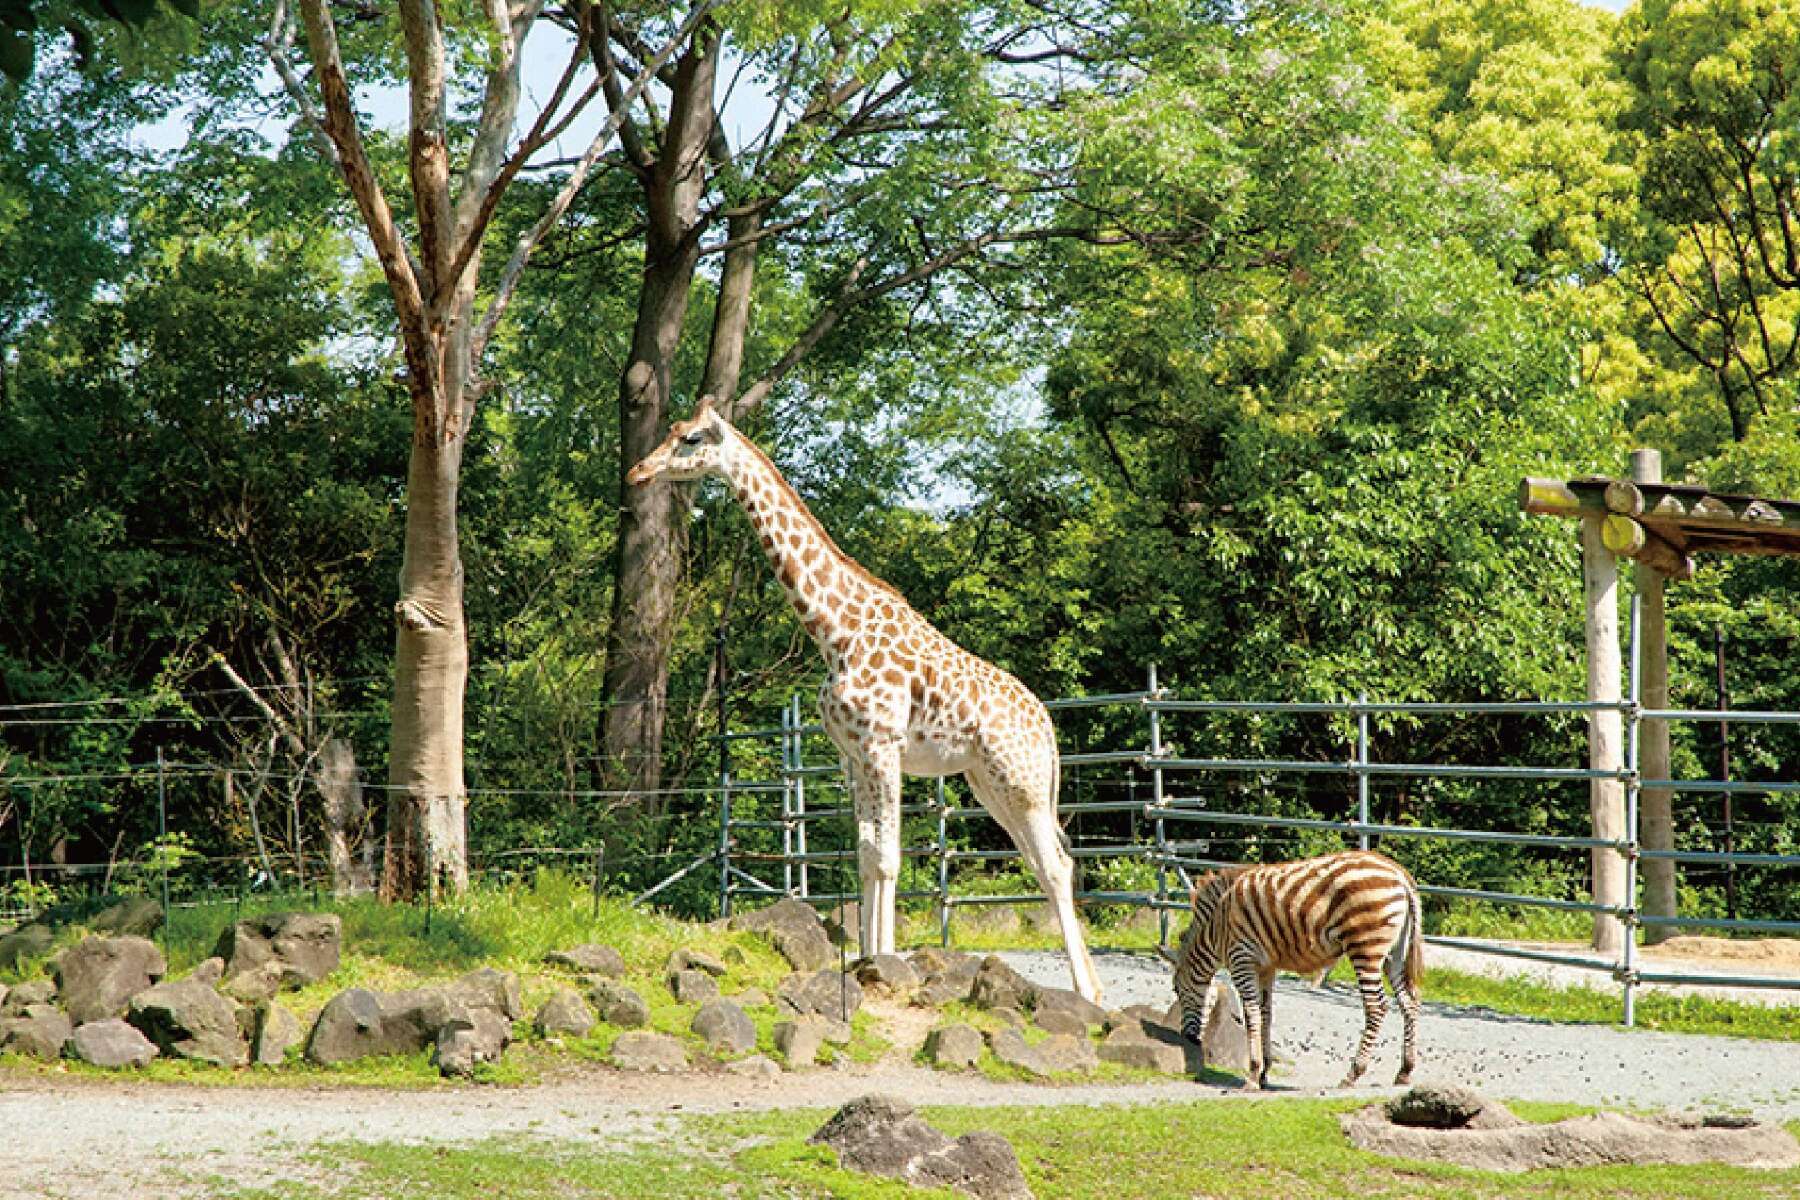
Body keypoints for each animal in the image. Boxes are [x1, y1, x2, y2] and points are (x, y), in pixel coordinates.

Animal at [626, 399, 1101, 1000]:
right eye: (669, 431)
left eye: (689, 439)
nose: (638, 472)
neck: (833, 631)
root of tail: (1047, 728)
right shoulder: (851, 755)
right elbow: (866, 854)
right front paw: (866, 958)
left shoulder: (883, 745)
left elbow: (889, 858)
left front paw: (888, 960)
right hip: (989, 783)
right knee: (1046, 861)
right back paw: (1094, 990)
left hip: (1022, 782)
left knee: (1057, 866)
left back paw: (1086, 993)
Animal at [1173, 849, 1425, 1093]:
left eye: (1176, 990)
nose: (1187, 1039)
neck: (1217, 928)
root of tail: (1399, 874)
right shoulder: (1266, 967)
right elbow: (1266, 1014)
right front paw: (1264, 1073)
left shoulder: (1242, 958)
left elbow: (1251, 1014)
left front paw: (1253, 1075)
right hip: (1394, 954)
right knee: (1409, 1002)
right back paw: (1405, 1071)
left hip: (1366, 946)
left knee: (1376, 1006)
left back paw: (1353, 1074)